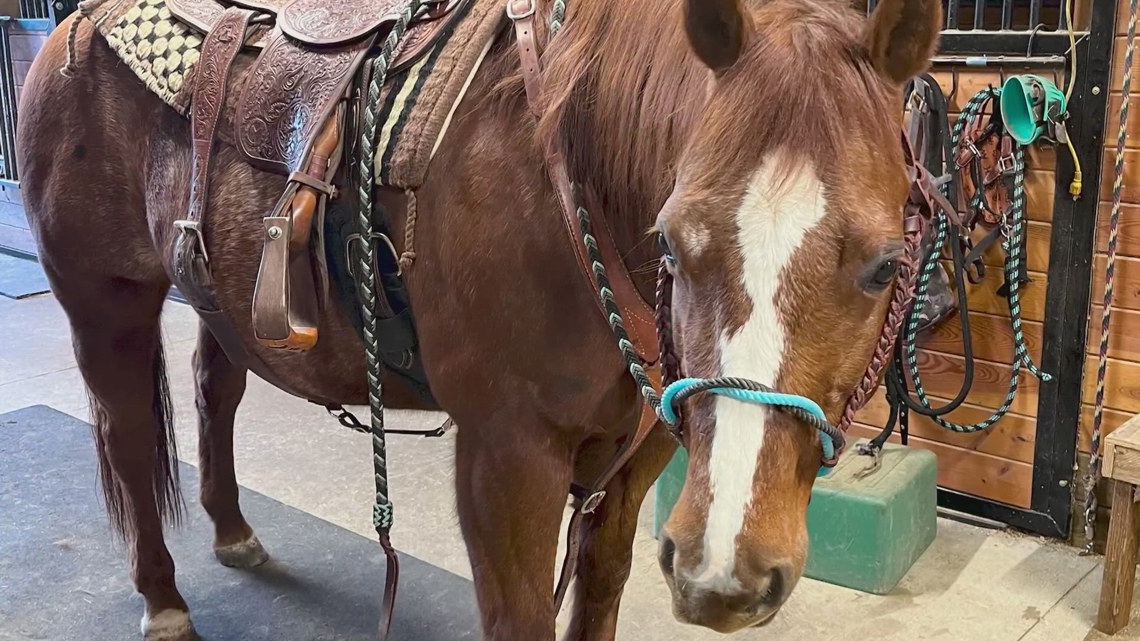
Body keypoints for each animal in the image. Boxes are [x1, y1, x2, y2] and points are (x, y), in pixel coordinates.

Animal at [15, 0, 942, 637]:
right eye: (672, 240)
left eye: (884, 265)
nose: (726, 573)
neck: (569, 181)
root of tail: (76, 23)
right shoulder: (508, 460)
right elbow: (521, 616)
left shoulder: (637, 458)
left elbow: (598, 594)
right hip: (105, 301)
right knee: (130, 437)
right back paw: (163, 599)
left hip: (217, 297)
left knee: (216, 391)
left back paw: (235, 532)